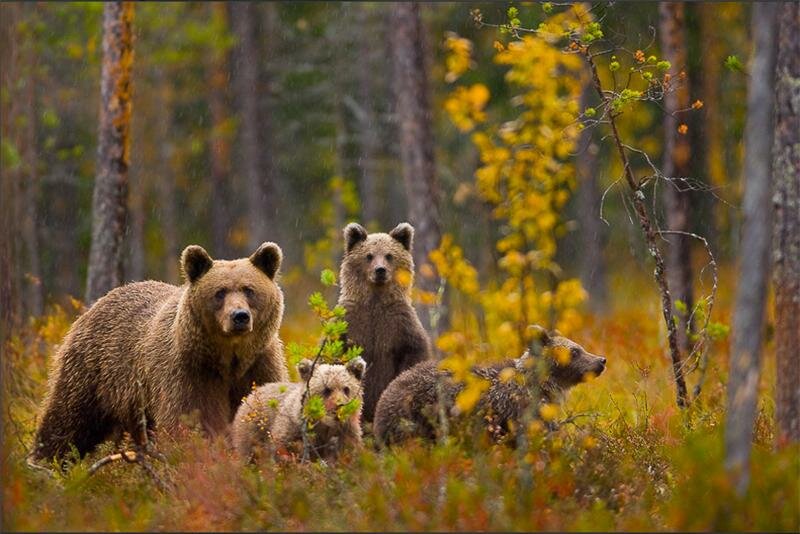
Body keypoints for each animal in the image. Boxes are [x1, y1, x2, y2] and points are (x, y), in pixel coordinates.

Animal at [30, 242, 289, 463]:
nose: (239, 316)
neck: (228, 359)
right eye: (220, 292)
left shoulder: (259, 366)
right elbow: (191, 422)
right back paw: (45, 462)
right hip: (92, 371)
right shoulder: (189, 372)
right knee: (68, 419)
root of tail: (96, 304)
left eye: (249, 289)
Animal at [232, 357, 366, 462]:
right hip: (252, 429)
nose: (340, 405)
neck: (324, 424)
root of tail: (252, 393)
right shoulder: (293, 427)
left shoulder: (346, 431)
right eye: (327, 389)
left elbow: (349, 450)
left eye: (346, 389)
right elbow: (280, 447)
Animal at [338, 222, 432, 423]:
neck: (376, 299)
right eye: (369, 255)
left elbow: (414, 351)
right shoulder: (349, 320)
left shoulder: (400, 323)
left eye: (389, 255)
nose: (380, 270)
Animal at [373, 325, 607, 447]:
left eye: (580, 346)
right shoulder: (516, 412)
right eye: (575, 351)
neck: (543, 387)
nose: (601, 360)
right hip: (415, 419)